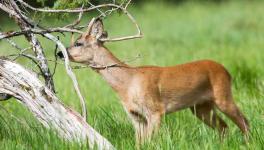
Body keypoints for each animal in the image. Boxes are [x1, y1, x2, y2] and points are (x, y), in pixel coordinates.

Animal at [57, 18, 250, 145]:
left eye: (79, 43)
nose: (59, 52)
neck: (128, 83)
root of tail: (226, 71)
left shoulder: (156, 110)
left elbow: (150, 143)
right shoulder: (136, 116)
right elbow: (139, 144)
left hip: (223, 95)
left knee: (244, 121)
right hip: (200, 107)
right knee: (224, 127)